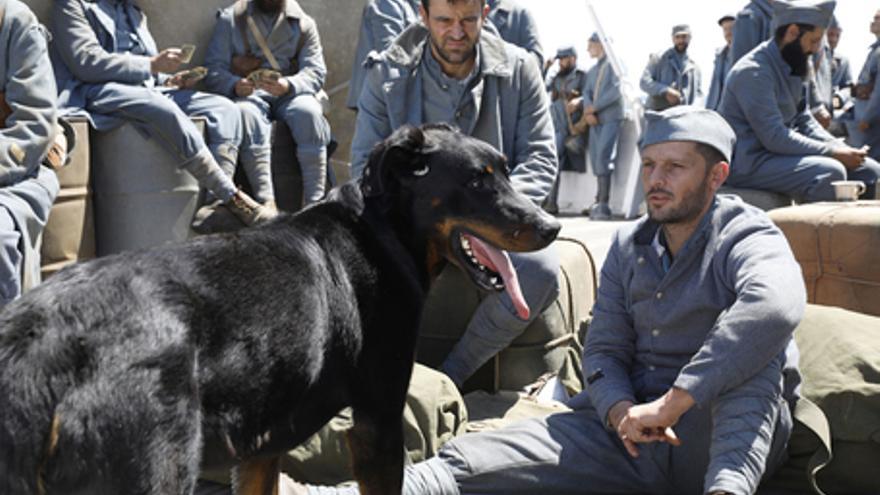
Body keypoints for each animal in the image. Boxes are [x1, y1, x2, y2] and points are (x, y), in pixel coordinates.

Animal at [0, 122, 560, 494]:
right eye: (477, 181)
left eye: (506, 172)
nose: (551, 226)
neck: (381, 229)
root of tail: (41, 339)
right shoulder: (378, 422)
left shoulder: (259, 449)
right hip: (156, 468)